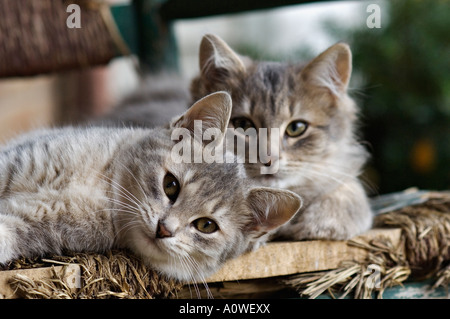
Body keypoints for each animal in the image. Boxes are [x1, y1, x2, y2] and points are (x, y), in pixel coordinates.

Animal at [0, 92, 302, 282]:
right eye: (171, 185)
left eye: (206, 225)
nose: (164, 229)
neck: (101, 184)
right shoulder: (18, 160)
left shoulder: (50, 226)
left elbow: (14, 231)